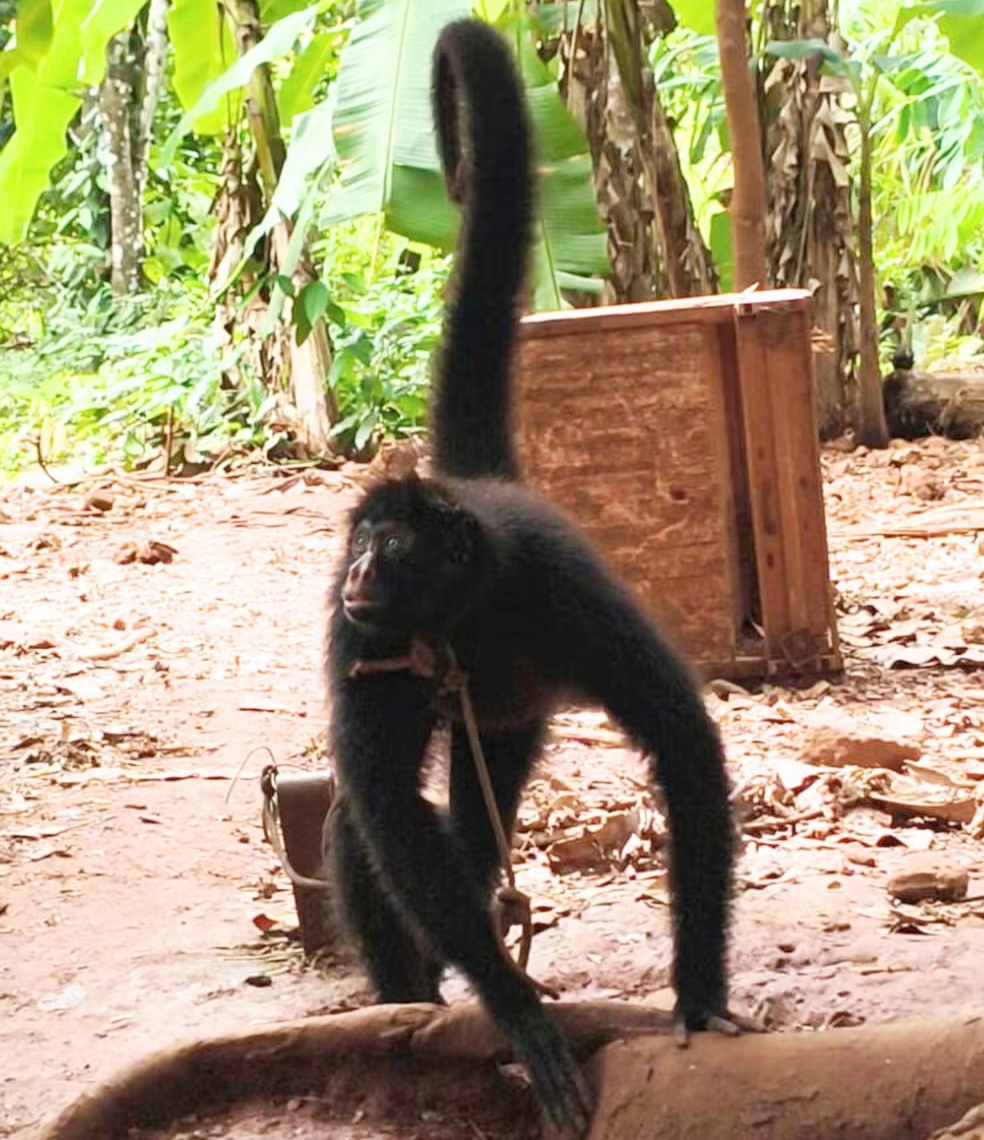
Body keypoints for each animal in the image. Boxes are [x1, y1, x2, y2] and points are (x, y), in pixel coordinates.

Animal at [324, 18, 736, 1138]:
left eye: (396, 547)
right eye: (361, 540)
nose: (362, 568)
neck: (468, 614)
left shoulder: (560, 590)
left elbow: (682, 741)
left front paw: (699, 995)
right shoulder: (358, 629)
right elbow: (384, 808)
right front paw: (513, 1010)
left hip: (513, 711)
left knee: (475, 808)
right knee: (385, 823)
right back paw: (411, 1002)